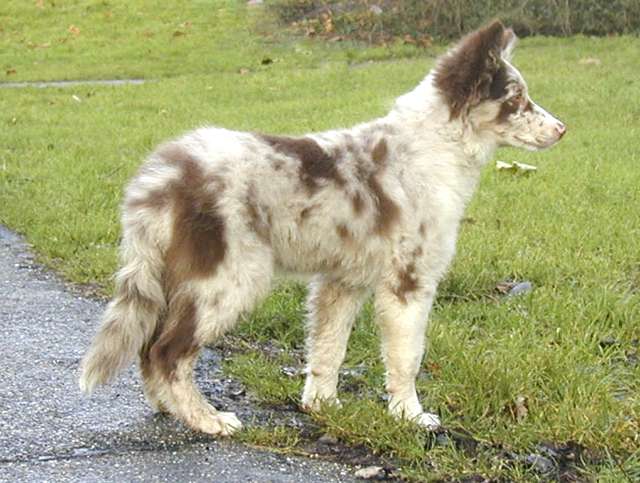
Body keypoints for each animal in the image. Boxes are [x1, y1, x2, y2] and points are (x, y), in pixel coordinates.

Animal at [79, 20, 565, 436]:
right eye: (516, 100)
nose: (562, 129)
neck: (432, 147)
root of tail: (160, 177)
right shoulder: (408, 281)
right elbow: (406, 356)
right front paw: (410, 416)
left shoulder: (341, 281)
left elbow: (328, 348)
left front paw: (323, 405)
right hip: (228, 278)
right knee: (166, 351)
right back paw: (206, 419)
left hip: (183, 276)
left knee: (148, 347)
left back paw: (169, 408)